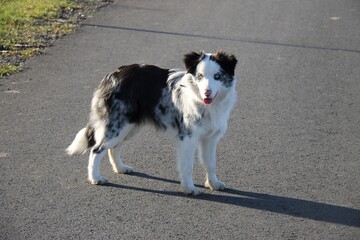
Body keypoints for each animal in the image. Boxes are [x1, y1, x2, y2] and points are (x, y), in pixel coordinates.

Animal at [66, 50, 238, 195]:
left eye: (217, 76)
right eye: (200, 76)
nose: (207, 93)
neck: (205, 104)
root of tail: (112, 75)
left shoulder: (210, 138)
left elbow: (211, 163)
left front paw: (213, 184)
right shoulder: (188, 138)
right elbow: (188, 166)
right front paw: (189, 189)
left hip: (130, 127)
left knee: (113, 149)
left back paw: (121, 168)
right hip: (117, 125)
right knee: (96, 150)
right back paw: (95, 178)